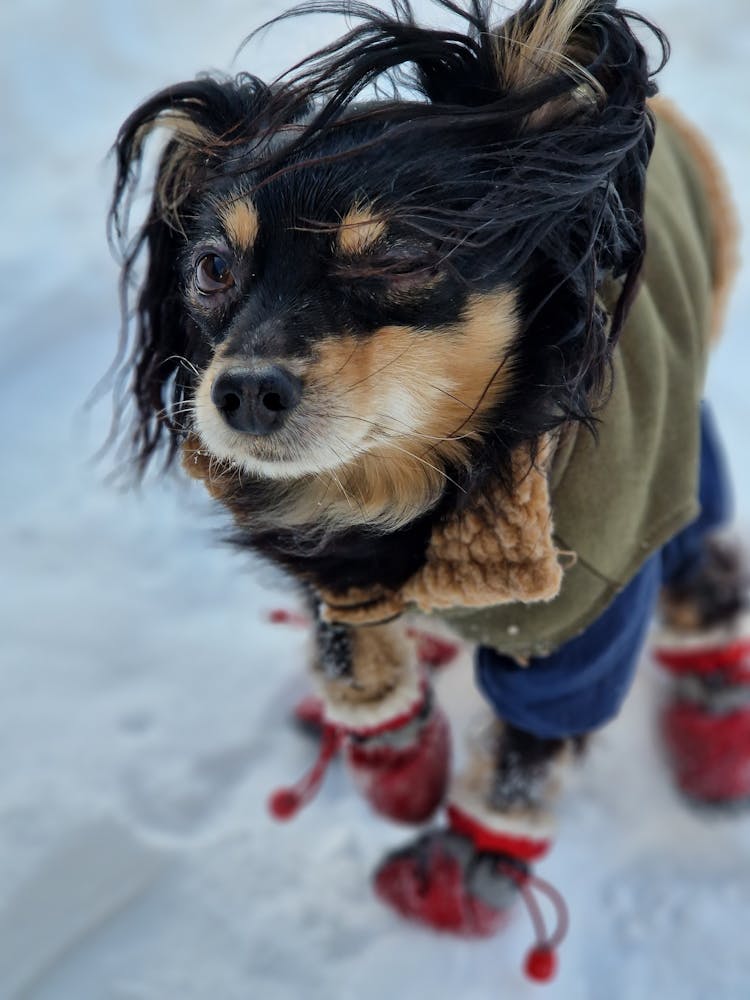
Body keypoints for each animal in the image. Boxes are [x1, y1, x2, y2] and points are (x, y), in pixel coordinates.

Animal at [111, 0, 748, 984]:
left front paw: (465, 869)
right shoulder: (333, 571)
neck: (410, 487)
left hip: (675, 468)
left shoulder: (587, 607)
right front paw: (395, 758)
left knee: (700, 557)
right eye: (212, 268)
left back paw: (713, 709)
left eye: (402, 256)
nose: (242, 391)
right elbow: (351, 652)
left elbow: (527, 755)